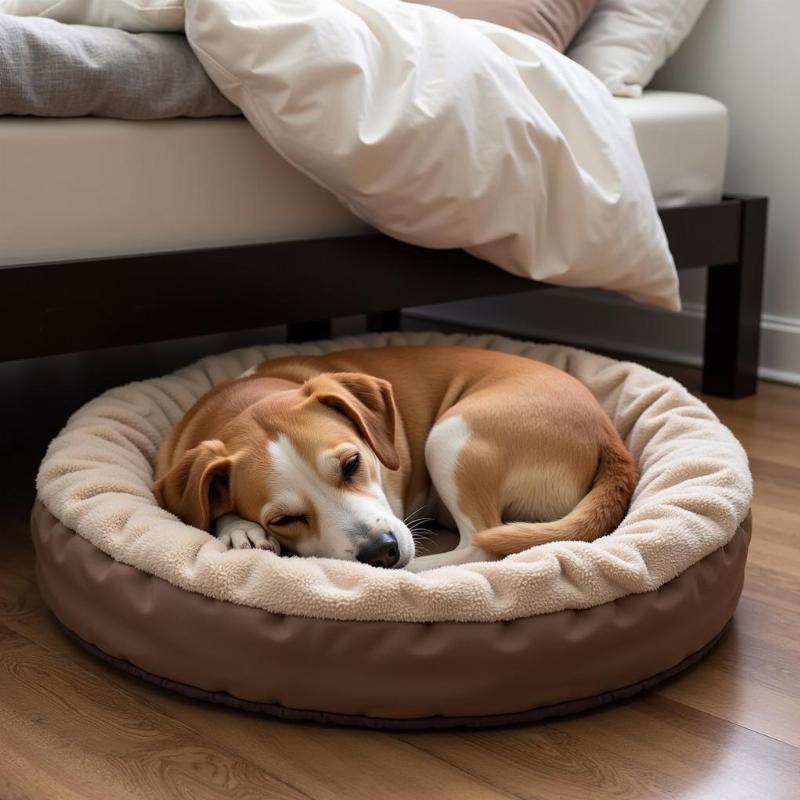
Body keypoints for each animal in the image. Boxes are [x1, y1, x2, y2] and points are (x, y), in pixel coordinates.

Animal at [153, 346, 636, 572]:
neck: (240, 404)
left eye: (352, 463)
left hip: (450, 437)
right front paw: (240, 529)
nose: (381, 552)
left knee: (481, 543)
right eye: (283, 519)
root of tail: (608, 436)